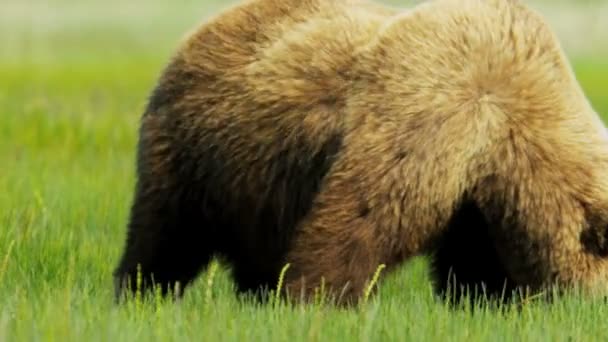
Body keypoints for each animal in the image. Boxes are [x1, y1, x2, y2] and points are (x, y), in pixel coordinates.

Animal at [113, 0, 608, 306]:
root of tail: (202, 28)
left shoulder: (476, 196)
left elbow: (475, 265)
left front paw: (487, 301)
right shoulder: (430, 116)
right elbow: (361, 217)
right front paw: (318, 299)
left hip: (257, 185)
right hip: (196, 151)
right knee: (166, 234)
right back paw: (139, 291)